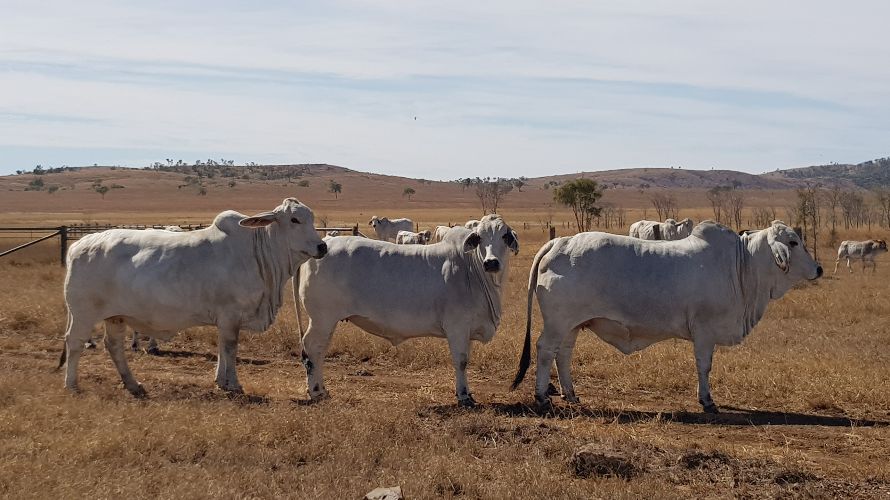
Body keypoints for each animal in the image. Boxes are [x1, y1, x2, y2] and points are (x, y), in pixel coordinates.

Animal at [60, 197, 328, 396]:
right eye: (294, 219)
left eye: (311, 218)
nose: (322, 247)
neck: (257, 252)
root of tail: (80, 244)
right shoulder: (231, 315)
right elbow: (230, 348)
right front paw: (234, 384)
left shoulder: (225, 319)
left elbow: (222, 349)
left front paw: (220, 381)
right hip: (83, 313)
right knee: (75, 342)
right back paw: (72, 384)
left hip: (115, 316)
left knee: (114, 346)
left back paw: (133, 384)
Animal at [300, 215, 520, 406]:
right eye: (480, 237)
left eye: (504, 236)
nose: (491, 262)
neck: (472, 269)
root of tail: (324, 244)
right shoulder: (456, 328)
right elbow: (461, 362)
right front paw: (464, 396)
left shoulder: (467, 330)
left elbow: (466, 360)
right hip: (322, 319)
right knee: (312, 348)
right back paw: (317, 391)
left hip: (327, 322)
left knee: (320, 351)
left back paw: (322, 389)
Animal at [510, 221, 824, 412]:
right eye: (793, 242)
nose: (818, 269)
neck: (741, 265)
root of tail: (560, 242)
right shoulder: (704, 332)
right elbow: (704, 366)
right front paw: (707, 400)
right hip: (557, 323)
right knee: (545, 350)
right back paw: (541, 396)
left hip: (573, 324)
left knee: (562, 354)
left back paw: (571, 393)